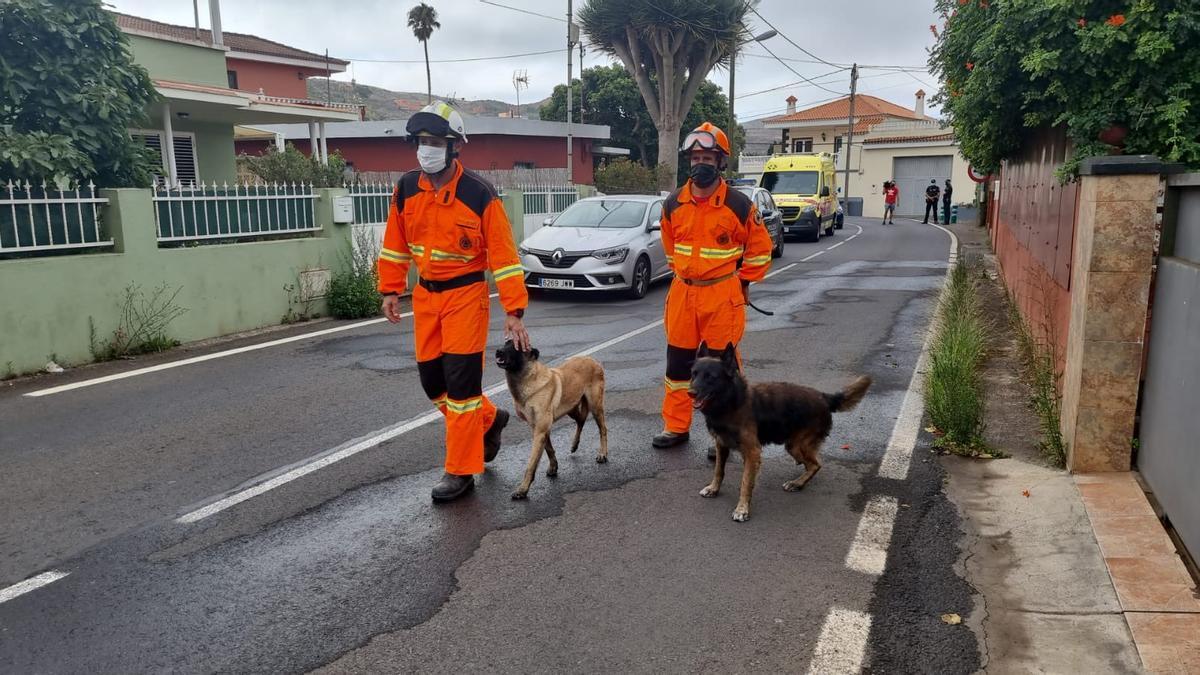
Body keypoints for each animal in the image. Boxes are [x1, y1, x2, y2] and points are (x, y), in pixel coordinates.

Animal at [494, 338, 609, 497]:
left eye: (516, 346)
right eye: (506, 343)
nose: (498, 351)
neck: (528, 380)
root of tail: (592, 360)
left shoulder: (540, 431)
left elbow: (531, 463)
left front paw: (523, 489)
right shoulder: (538, 428)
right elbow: (549, 449)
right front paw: (554, 467)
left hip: (595, 406)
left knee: (602, 429)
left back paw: (602, 454)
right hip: (571, 409)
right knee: (581, 420)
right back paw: (574, 445)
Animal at [691, 341, 868, 521]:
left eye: (710, 377)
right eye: (694, 374)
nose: (690, 393)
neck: (731, 402)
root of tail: (824, 397)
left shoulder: (752, 453)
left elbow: (746, 482)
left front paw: (742, 509)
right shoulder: (721, 445)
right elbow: (718, 471)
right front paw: (713, 488)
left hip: (798, 445)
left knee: (816, 464)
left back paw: (797, 483)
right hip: (793, 446)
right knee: (810, 463)